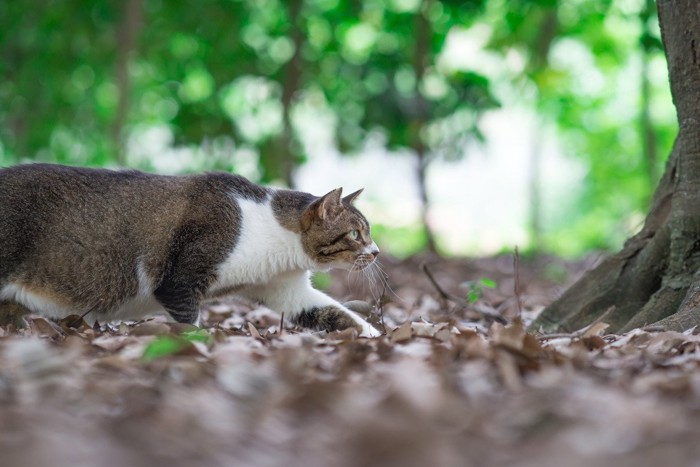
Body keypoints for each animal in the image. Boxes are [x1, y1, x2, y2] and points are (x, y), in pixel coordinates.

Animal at [0, 164, 382, 336]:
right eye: (355, 233)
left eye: (369, 232)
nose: (377, 251)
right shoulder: (180, 280)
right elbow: (188, 322)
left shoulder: (287, 288)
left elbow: (335, 313)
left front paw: (377, 337)